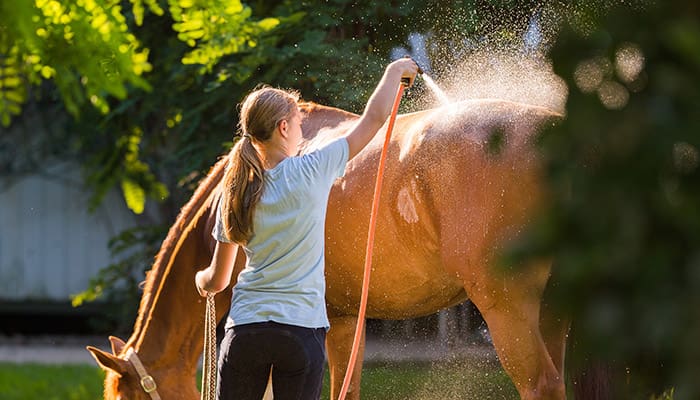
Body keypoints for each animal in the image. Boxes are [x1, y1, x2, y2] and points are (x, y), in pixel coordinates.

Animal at [87, 97, 568, 400]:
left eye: (130, 399)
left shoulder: (331, 323)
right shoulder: (346, 317)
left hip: (506, 308)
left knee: (540, 384)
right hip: (553, 311)